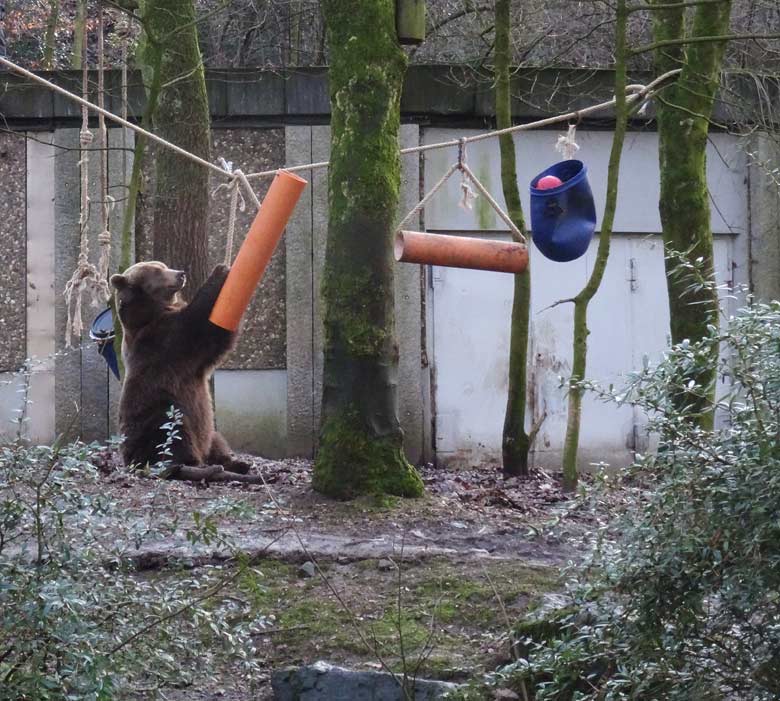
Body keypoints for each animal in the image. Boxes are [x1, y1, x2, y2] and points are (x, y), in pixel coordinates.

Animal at [109, 262, 248, 476]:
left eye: (164, 265)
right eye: (157, 271)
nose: (180, 274)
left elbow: (219, 340)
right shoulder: (163, 339)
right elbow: (200, 325)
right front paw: (220, 271)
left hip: (206, 432)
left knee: (215, 440)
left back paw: (236, 463)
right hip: (157, 411)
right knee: (172, 436)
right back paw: (192, 467)